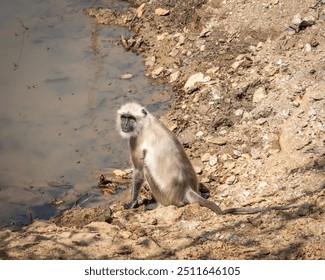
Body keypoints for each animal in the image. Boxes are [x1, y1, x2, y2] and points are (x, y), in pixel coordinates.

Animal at [116, 102, 296, 214]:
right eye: (124, 117)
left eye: (130, 118)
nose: (124, 124)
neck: (146, 123)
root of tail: (187, 189)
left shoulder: (136, 140)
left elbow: (138, 171)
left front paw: (132, 203)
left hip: (165, 194)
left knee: (146, 168)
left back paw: (157, 205)